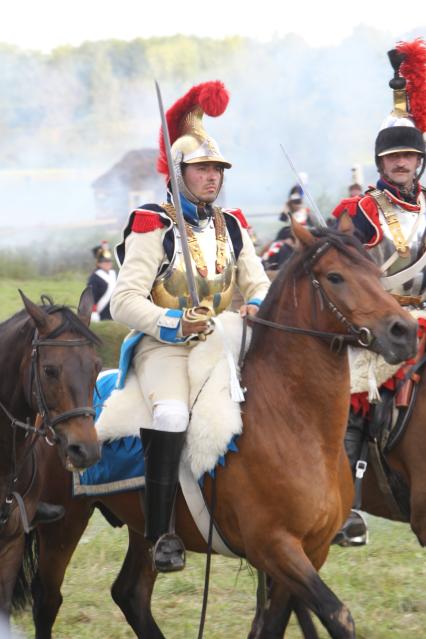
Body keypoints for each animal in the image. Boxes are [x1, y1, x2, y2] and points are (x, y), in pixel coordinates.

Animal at [31, 222, 418, 636]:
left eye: (377, 273)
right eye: (335, 277)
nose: (405, 331)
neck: (298, 425)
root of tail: (46, 416)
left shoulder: (311, 552)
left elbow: (275, 624)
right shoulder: (275, 547)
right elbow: (338, 615)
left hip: (139, 531)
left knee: (130, 593)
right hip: (62, 524)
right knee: (47, 599)